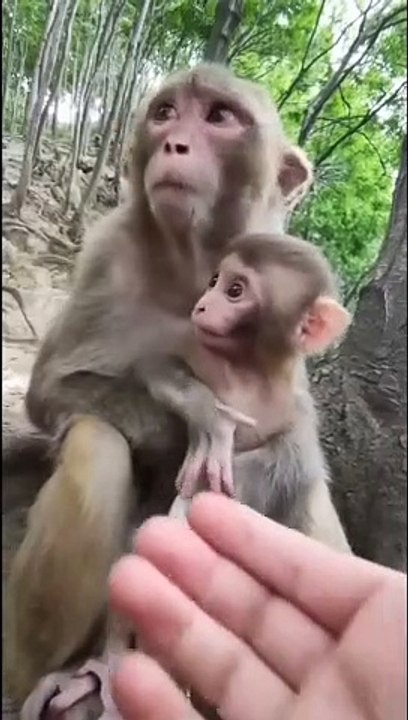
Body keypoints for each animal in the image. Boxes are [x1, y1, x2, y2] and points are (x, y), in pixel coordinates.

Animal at [4, 62, 349, 711]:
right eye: (166, 113)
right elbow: (55, 389)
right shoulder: (106, 249)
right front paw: (200, 427)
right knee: (97, 448)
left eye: (218, 117)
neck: (192, 263)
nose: (174, 145)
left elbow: (293, 444)